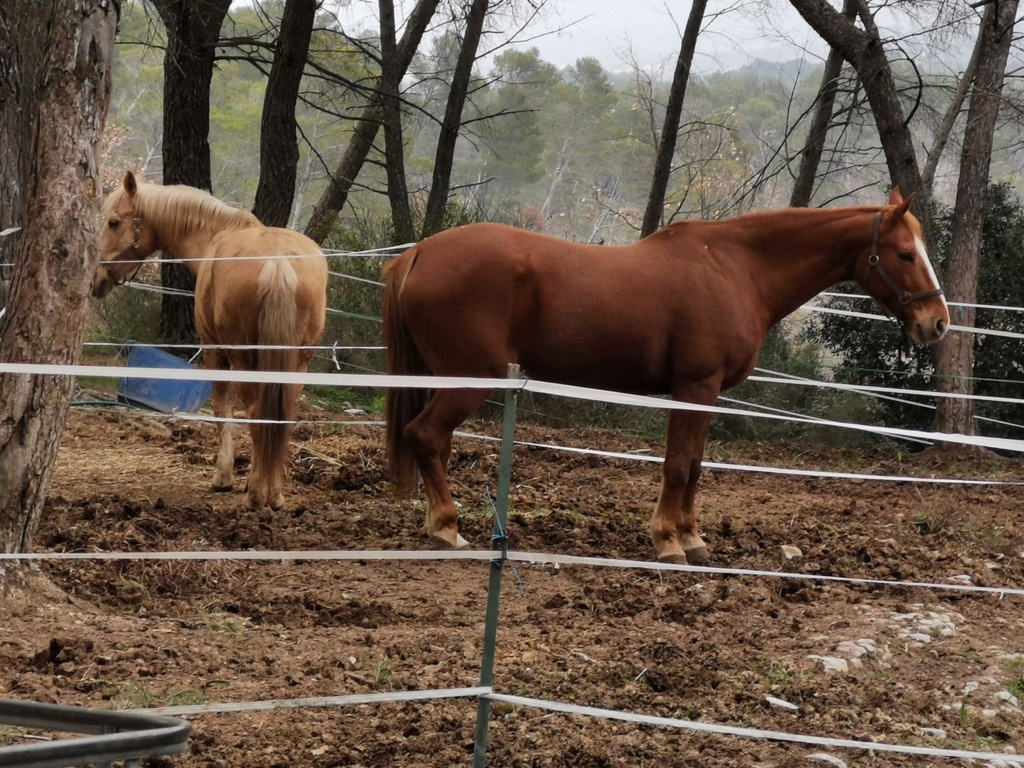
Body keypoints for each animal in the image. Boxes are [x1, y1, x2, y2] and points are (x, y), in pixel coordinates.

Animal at [94, 171, 327, 514]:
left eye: (113, 223)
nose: (97, 281)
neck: (216, 235)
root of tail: (278, 262)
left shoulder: (214, 352)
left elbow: (222, 411)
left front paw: (224, 477)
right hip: (298, 363)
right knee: (281, 417)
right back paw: (275, 495)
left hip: (244, 361)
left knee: (257, 413)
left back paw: (256, 494)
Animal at [385, 191, 950, 565]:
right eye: (905, 254)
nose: (937, 323)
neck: (736, 269)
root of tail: (421, 252)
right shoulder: (695, 386)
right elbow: (678, 465)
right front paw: (668, 541)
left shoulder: (706, 394)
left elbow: (696, 465)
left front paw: (693, 538)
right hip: (471, 379)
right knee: (426, 436)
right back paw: (447, 530)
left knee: (433, 442)